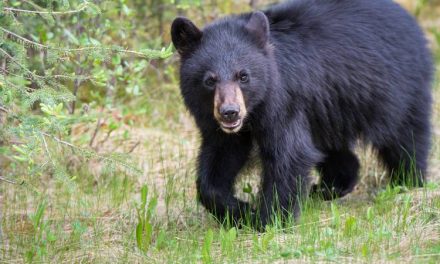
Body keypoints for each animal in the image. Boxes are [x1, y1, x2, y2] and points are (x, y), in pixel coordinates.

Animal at [170, 0, 432, 228]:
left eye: (243, 76)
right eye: (209, 80)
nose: (230, 113)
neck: (254, 111)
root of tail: (411, 21)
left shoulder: (284, 102)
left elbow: (289, 155)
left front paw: (270, 219)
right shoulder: (219, 126)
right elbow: (219, 159)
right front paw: (239, 210)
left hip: (398, 90)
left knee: (406, 136)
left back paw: (407, 180)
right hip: (329, 109)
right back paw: (331, 187)